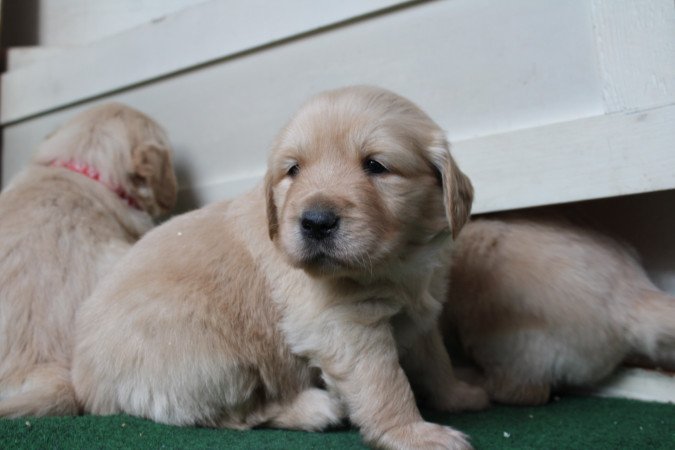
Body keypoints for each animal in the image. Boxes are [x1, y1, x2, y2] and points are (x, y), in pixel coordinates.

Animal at [72, 87, 486, 450]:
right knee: (234, 415)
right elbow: (384, 383)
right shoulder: (343, 325)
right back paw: (314, 408)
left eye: (375, 165)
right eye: (294, 170)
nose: (316, 222)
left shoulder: (422, 310)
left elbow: (435, 358)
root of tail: (87, 378)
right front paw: (413, 433)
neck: (398, 260)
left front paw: (457, 394)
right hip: (210, 355)